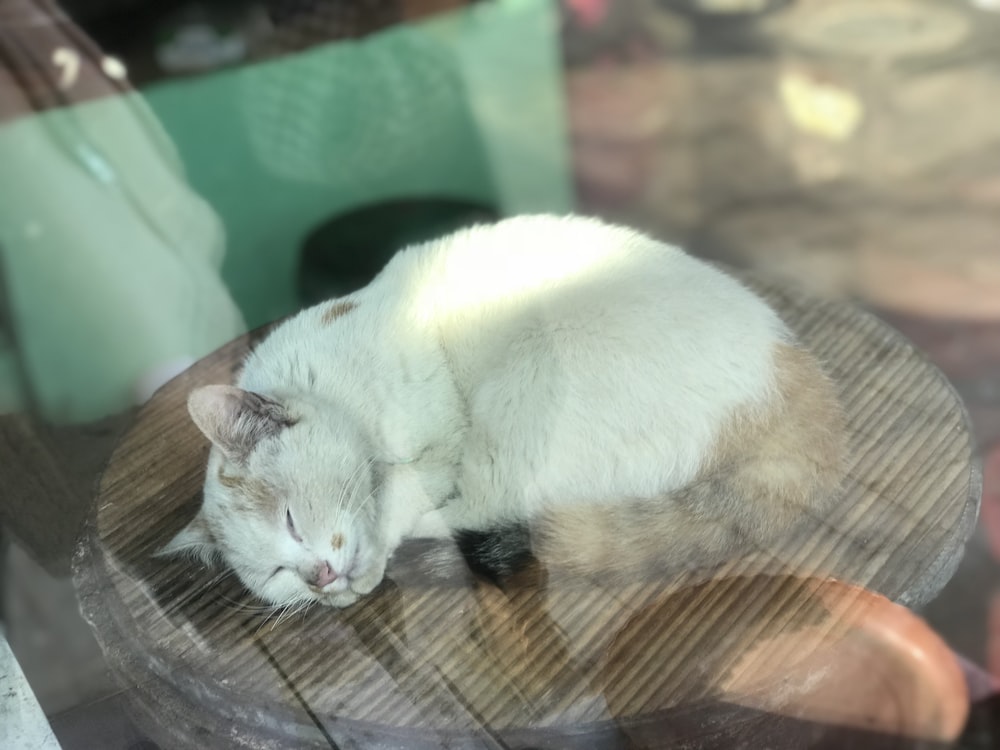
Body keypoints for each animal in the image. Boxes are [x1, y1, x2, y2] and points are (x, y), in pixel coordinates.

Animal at [162, 213, 844, 612]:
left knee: (499, 514)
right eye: (278, 573)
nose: (319, 579)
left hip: (534, 373)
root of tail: (802, 392)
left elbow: (398, 492)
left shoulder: (438, 443)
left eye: (292, 521)